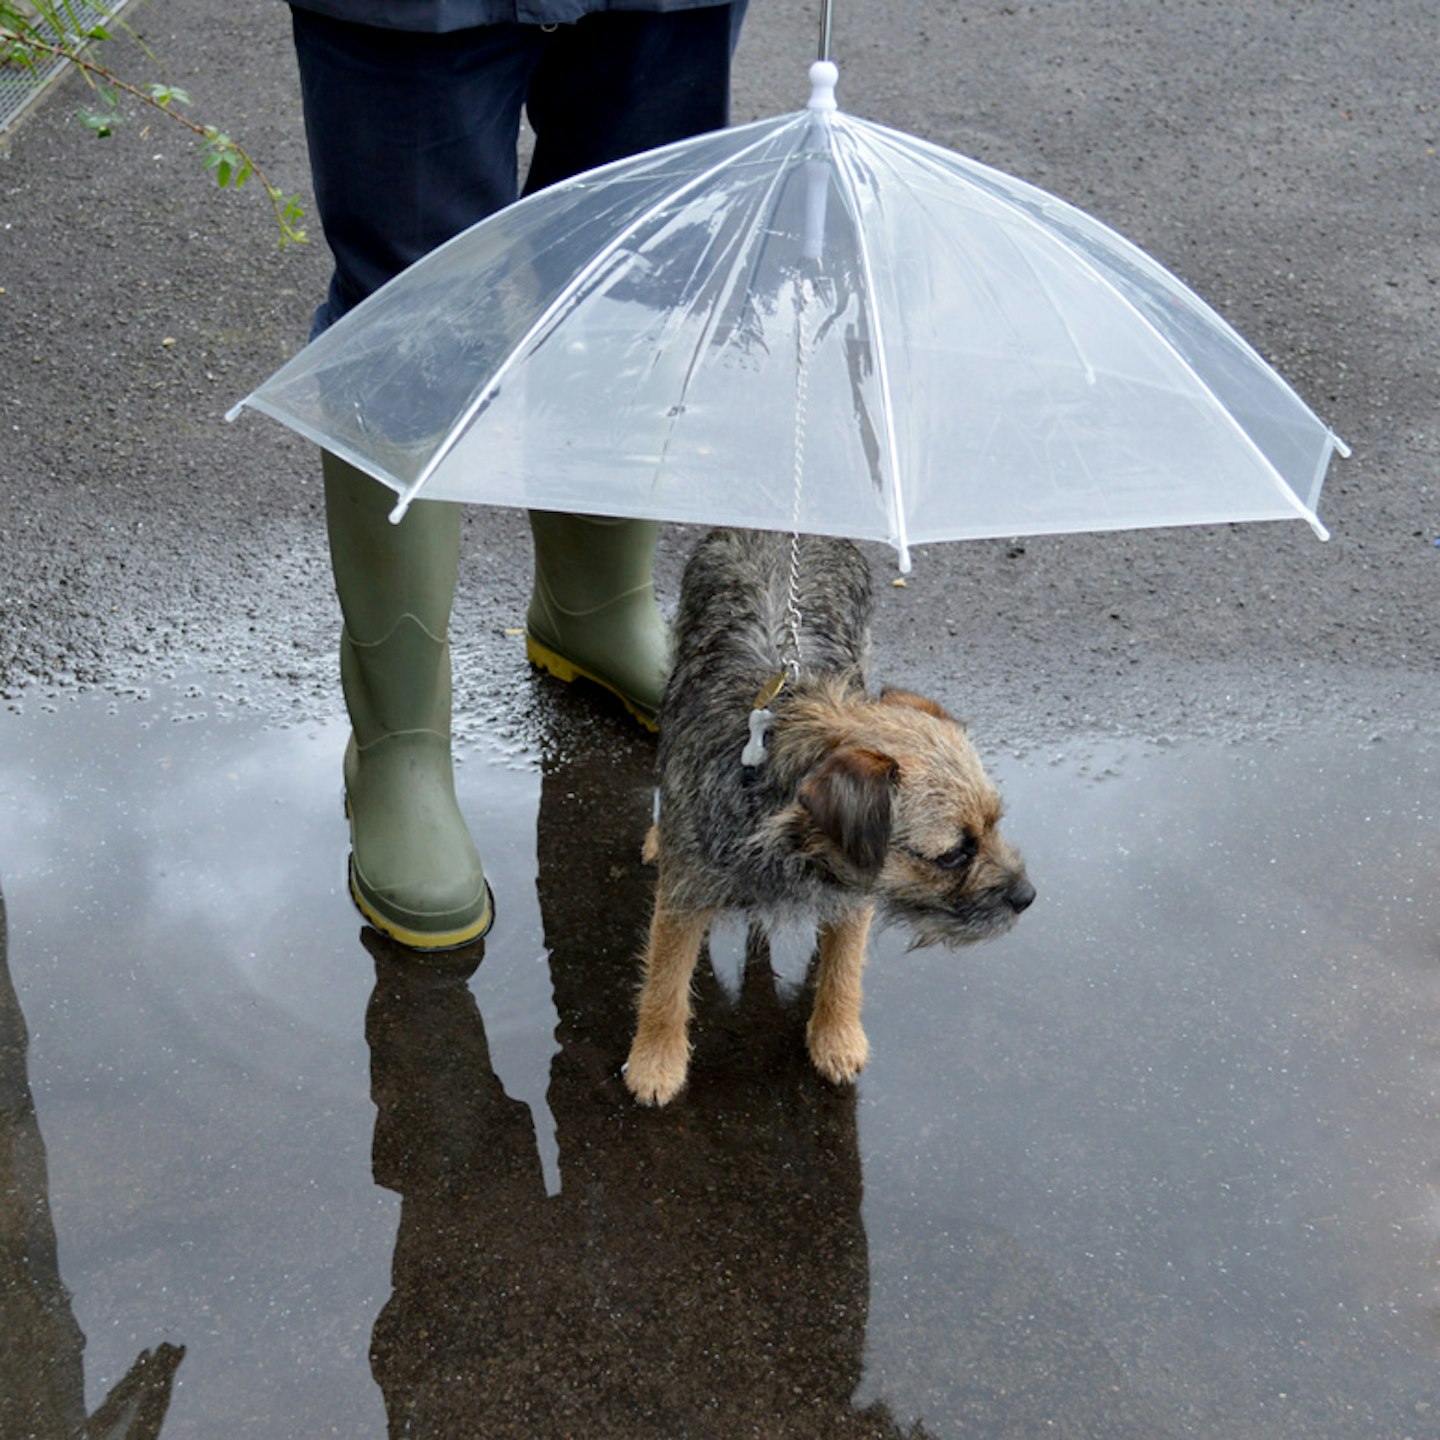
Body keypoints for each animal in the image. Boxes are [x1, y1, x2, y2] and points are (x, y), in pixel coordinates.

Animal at [622, 529, 1036, 1100]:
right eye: (953, 854)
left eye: (995, 823)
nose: (1027, 896)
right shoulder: (686, 896)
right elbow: (664, 981)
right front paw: (655, 1060)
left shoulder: (853, 896)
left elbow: (843, 972)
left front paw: (836, 1038)